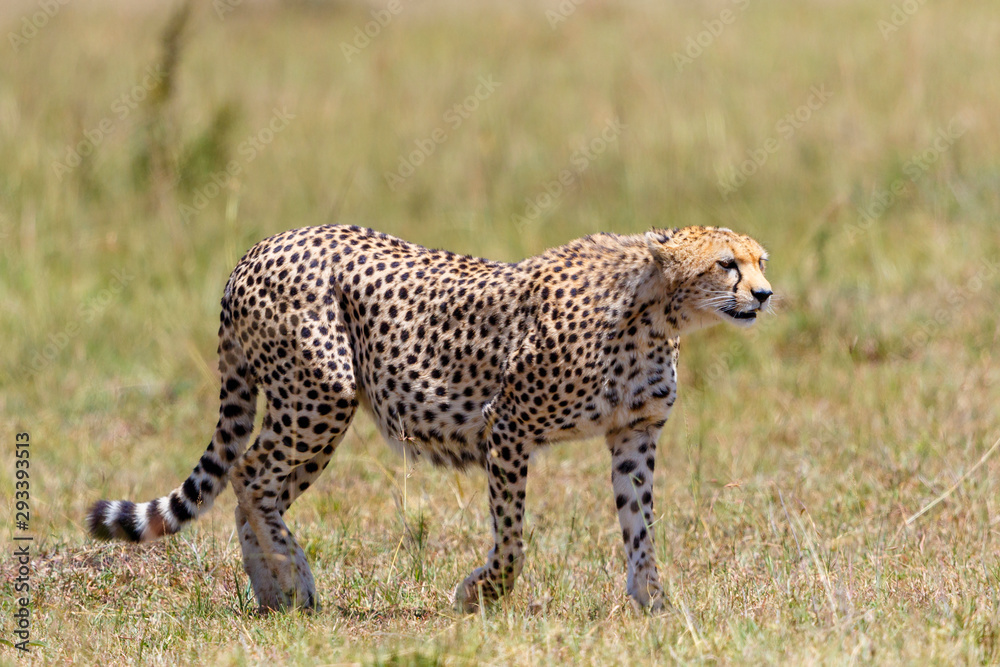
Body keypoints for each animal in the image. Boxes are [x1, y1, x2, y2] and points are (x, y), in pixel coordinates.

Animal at [87, 224, 773, 614]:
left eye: (761, 260)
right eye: (726, 264)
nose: (765, 294)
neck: (657, 311)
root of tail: (258, 248)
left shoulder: (633, 434)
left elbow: (640, 524)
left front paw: (652, 601)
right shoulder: (507, 426)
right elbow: (513, 539)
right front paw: (480, 595)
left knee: (248, 480)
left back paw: (274, 592)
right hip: (323, 392)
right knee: (252, 474)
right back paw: (295, 578)